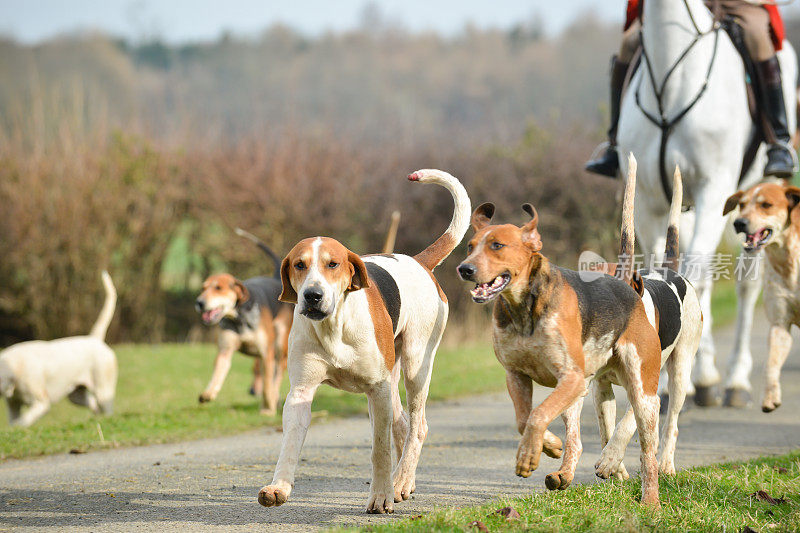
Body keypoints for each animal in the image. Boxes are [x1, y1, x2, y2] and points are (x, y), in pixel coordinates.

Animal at [620, 0, 792, 404]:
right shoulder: (649, 202)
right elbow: (660, 274)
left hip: (759, 202)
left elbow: (695, 274)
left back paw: (734, 379)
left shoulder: (714, 191)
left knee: (746, 284)